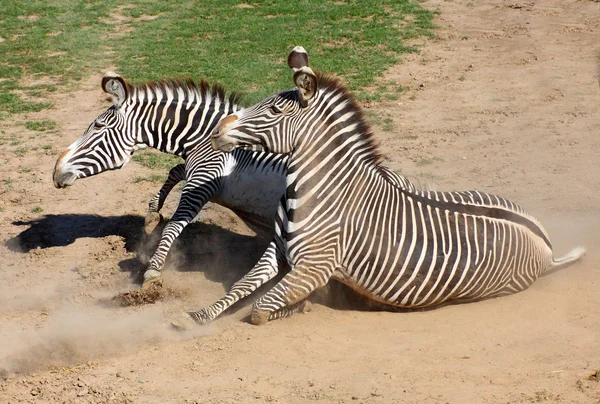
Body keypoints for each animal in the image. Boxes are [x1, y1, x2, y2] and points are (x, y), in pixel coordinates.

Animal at [52, 73, 290, 288]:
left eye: (99, 126)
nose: (55, 172)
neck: (204, 139)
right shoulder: (197, 169)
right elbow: (175, 171)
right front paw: (153, 213)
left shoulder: (204, 179)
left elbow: (173, 226)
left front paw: (153, 270)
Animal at [189, 46, 584, 326]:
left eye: (273, 111)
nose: (218, 128)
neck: (318, 191)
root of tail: (546, 247)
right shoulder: (277, 248)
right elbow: (243, 285)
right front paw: (198, 316)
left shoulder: (314, 266)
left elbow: (261, 307)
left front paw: (298, 308)